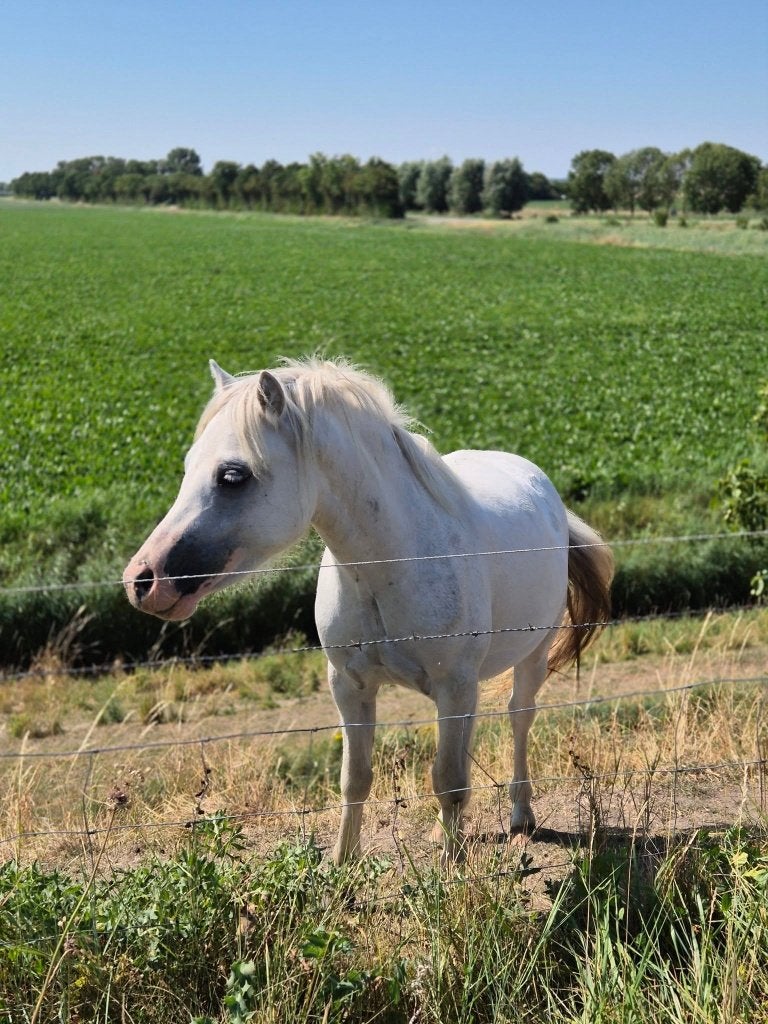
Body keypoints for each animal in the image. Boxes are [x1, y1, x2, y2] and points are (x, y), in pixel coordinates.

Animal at [123, 357, 613, 863]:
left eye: (232, 476)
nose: (142, 580)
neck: (388, 564)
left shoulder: (454, 686)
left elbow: (449, 781)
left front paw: (452, 868)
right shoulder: (350, 686)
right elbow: (356, 779)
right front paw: (344, 864)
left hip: (530, 658)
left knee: (519, 718)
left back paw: (520, 818)